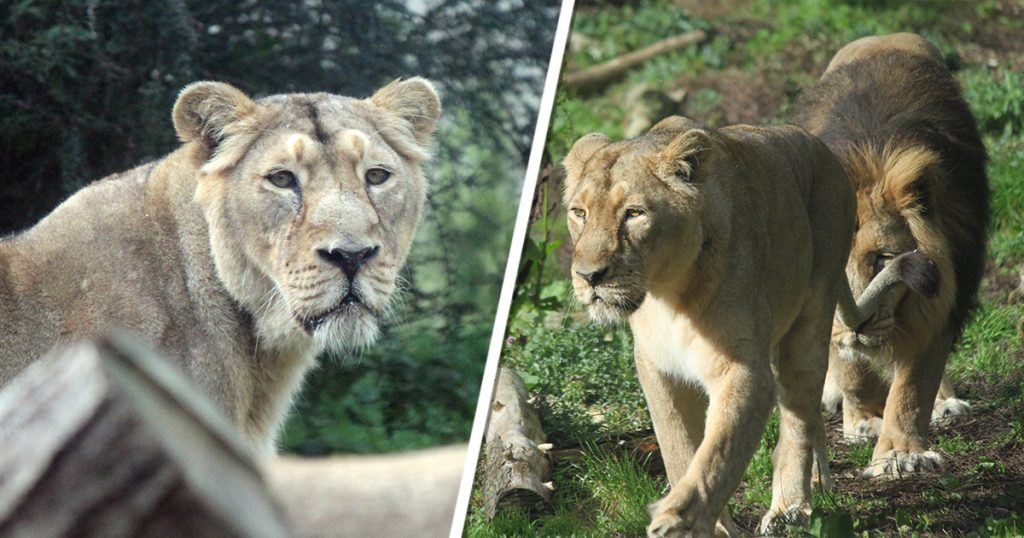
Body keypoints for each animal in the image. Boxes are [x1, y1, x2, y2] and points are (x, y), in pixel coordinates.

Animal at [562, 116, 938, 536]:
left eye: (634, 213)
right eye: (579, 213)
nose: (589, 276)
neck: (668, 296)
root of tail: (822, 150)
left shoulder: (744, 370)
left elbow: (718, 453)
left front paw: (681, 520)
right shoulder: (656, 367)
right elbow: (679, 450)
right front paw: (712, 525)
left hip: (810, 320)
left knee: (799, 417)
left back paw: (791, 506)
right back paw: (820, 480)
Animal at [794, 33, 989, 478]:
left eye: (884, 257)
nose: (858, 323)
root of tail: (883, 36)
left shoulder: (938, 297)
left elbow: (912, 388)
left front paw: (901, 455)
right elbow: (850, 367)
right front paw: (865, 420)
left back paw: (946, 403)